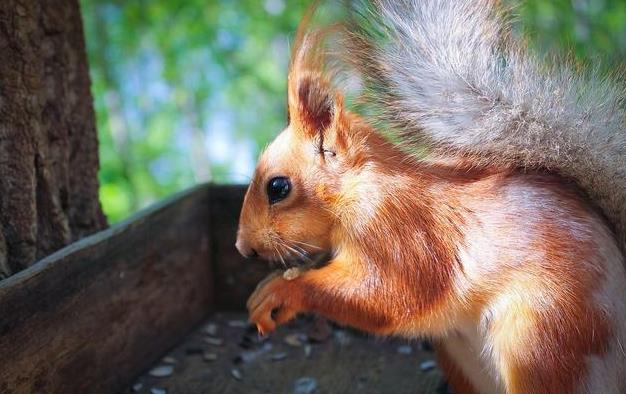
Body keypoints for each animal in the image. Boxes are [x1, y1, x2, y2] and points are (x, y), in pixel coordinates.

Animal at [233, 1, 624, 392]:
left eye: (278, 188)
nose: (243, 248)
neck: (363, 185)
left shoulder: (403, 231)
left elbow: (390, 297)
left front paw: (284, 291)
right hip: (463, 357)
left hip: (542, 340)